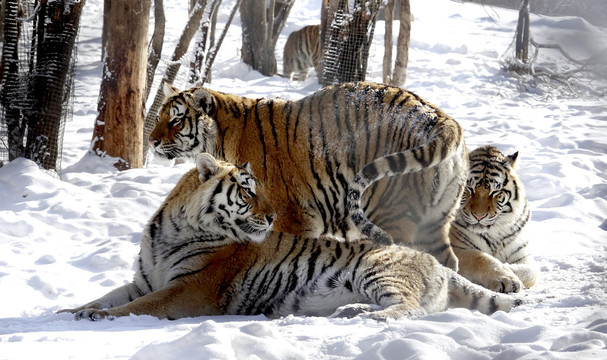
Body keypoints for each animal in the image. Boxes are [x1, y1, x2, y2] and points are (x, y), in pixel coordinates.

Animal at [58, 153, 524, 320]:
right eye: (248, 190)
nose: (271, 216)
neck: (174, 228)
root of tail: (433, 263)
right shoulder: (143, 279)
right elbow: (109, 295)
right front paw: (72, 310)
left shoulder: (190, 288)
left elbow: (141, 306)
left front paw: (101, 318)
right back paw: (350, 312)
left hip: (379, 272)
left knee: (410, 309)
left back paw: (368, 317)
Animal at [148, 81, 470, 272]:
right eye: (160, 117)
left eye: (176, 120)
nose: (151, 141)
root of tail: (439, 118)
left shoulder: (291, 217)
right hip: (436, 221)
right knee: (448, 261)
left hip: (392, 214)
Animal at [446, 145, 536, 294]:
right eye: (469, 188)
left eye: (495, 192)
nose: (478, 216)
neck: (495, 233)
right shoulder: (455, 249)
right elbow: (481, 258)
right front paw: (507, 279)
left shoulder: (523, 256)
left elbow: (531, 272)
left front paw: (509, 269)